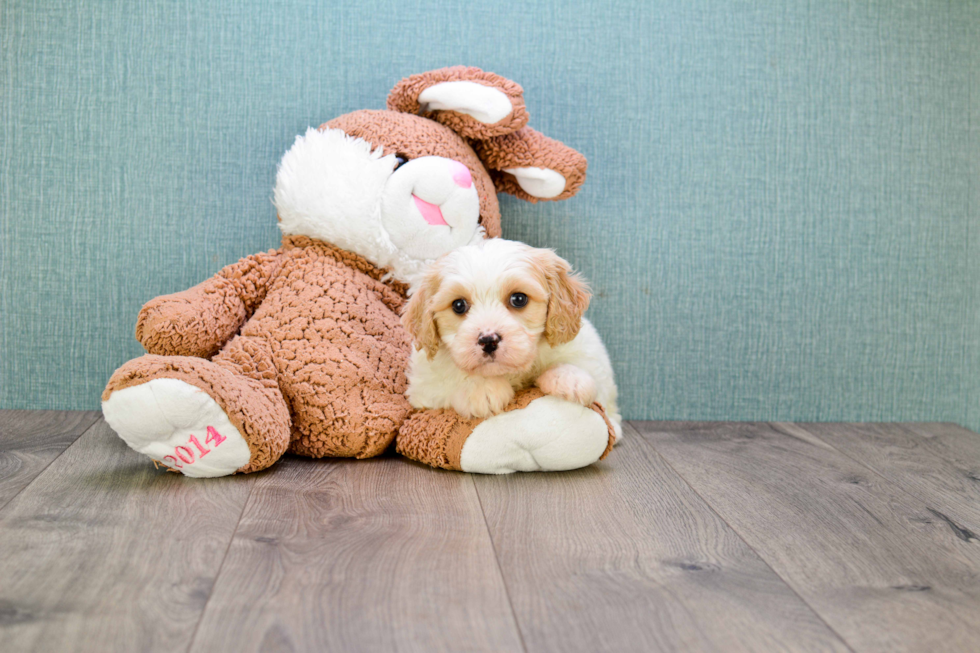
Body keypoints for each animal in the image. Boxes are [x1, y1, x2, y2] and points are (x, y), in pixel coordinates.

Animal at [404, 237, 620, 440]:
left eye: (519, 299)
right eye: (458, 305)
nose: (488, 340)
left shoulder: (587, 348)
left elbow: (580, 361)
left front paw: (569, 379)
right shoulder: (424, 388)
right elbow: (450, 373)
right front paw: (481, 388)